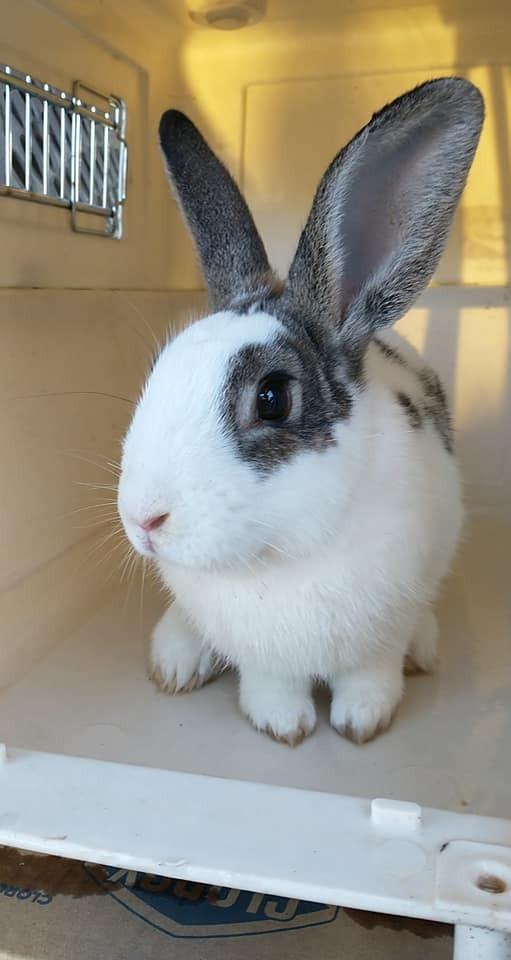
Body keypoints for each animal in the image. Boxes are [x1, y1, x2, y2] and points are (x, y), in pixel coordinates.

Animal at [118, 77, 484, 746]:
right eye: (160, 369)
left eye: (272, 398)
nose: (144, 520)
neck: (284, 550)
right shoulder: (262, 654)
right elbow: (271, 683)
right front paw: (283, 725)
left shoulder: (380, 635)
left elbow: (371, 676)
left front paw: (363, 723)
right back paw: (176, 659)